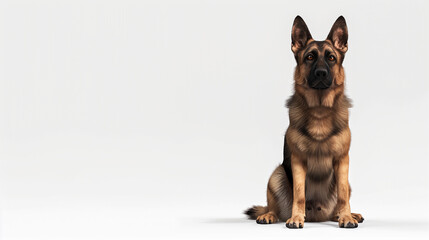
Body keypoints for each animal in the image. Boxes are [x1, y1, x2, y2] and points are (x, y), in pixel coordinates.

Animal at [244, 16, 362, 229]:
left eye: (331, 58)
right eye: (310, 57)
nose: (322, 73)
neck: (319, 111)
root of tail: (317, 216)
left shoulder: (342, 161)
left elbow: (342, 194)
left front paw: (347, 217)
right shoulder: (298, 161)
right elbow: (299, 193)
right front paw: (296, 218)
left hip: (347, 182)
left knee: (340, 202)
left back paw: (348, 214)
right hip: (276, 175)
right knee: (274, 207)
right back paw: (270, 215)